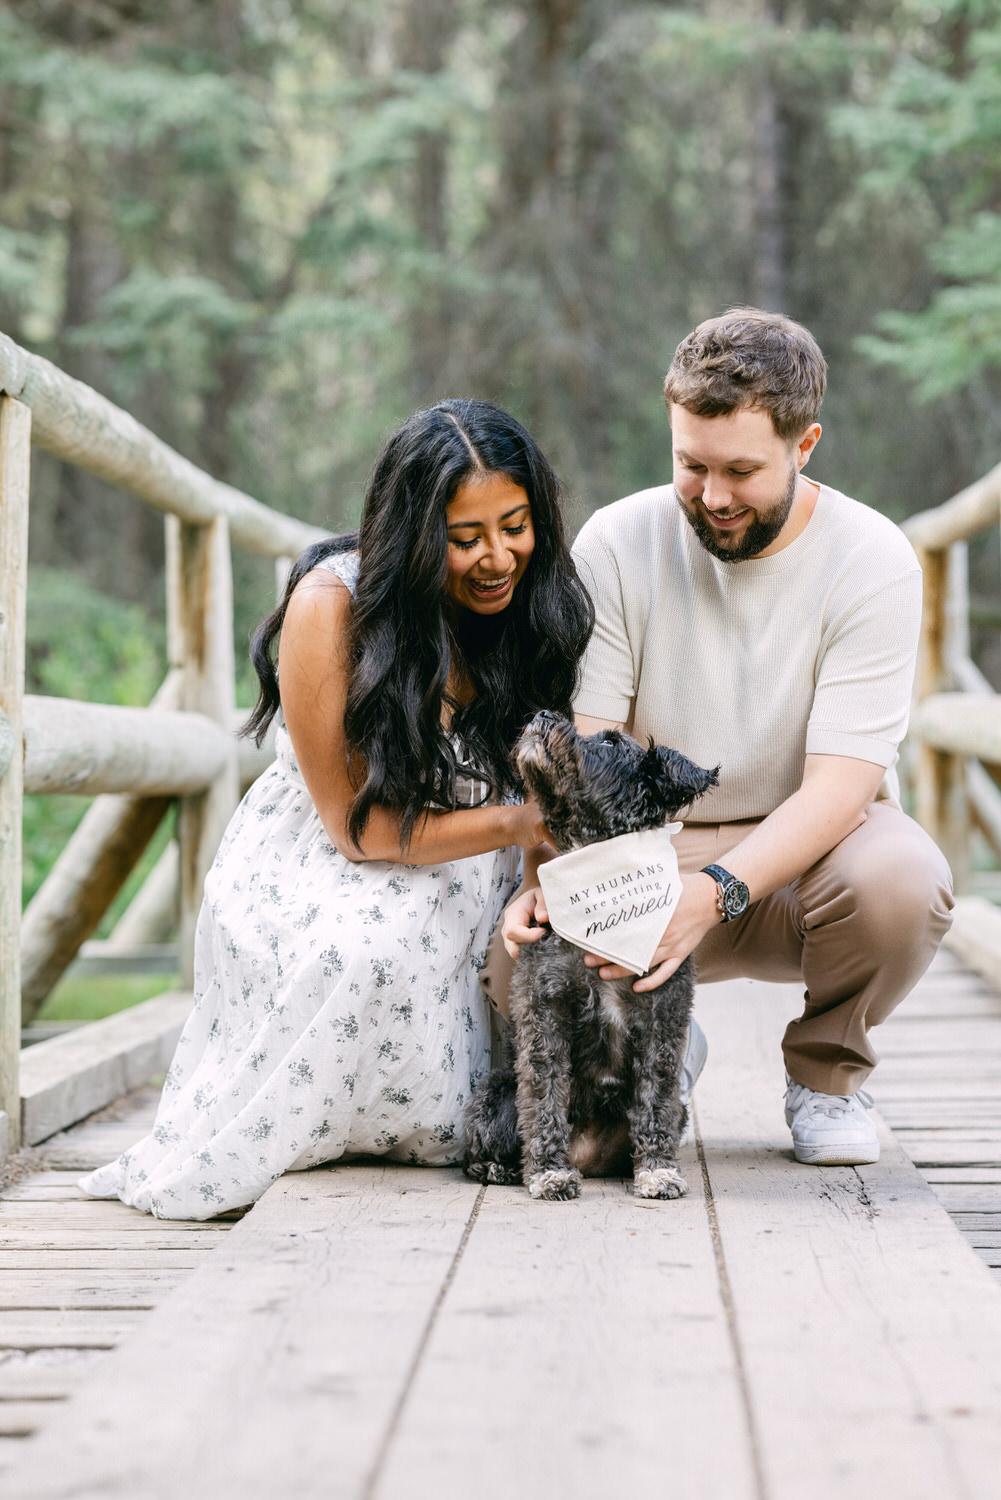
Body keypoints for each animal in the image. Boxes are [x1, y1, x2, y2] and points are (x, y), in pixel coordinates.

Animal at [465, 708, 717, 1200]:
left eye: (610, 743)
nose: (543, 712)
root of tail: (588, 1156)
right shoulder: (544, 1013)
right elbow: (544, 1097)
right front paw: (548, 1172)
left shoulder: (663, 1017)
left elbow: (655, 1100)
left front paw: (658, 1171)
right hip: (495, 1093)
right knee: (485, 1145)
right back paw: (502, 1168)